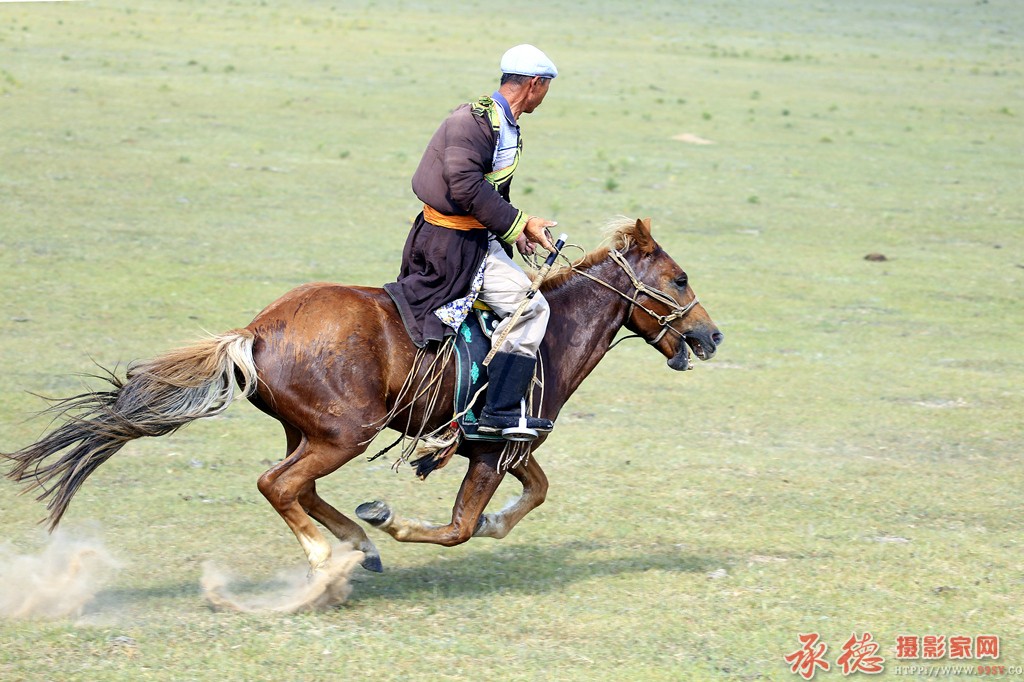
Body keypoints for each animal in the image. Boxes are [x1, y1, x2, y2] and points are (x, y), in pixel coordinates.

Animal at [4, 218, 720, 573]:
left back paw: (356, 546)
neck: (551, 333)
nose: (711, 335)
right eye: (680, 278)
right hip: (346, 433)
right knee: (279, 486)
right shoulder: (492, 450)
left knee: (299, 487)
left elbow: (534, 492)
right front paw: (395, 521)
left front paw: (491, 522)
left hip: (311, 433)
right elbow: (457, 529)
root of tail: (257, 331)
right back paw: (333, 551)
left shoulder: (502, 442)